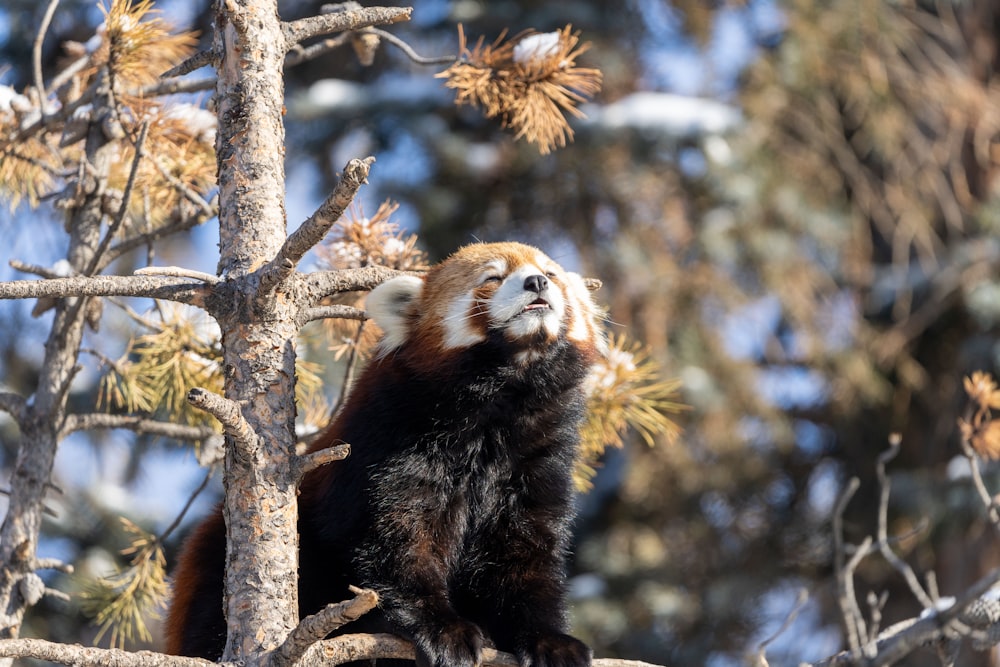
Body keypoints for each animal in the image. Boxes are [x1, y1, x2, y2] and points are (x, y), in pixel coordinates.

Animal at [166, 244, 600, 667]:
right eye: (492, 277)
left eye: (552, 273)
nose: (537, 281)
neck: (498, 406)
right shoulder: (392, 442)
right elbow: (393, 540)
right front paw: (442, 630)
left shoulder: (534, 461)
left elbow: (525, 556)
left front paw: (550, 641)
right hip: (213, 568)